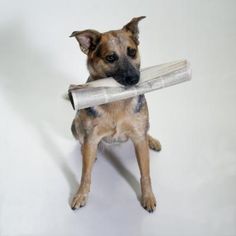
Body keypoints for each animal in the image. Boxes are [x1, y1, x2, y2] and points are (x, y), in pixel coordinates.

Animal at [69, 16, 161, 212]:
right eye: (110, 58)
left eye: (132, 52)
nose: (135, 79)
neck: (117, 100)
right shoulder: (91, 137)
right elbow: (85, 174)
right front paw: (81, 194)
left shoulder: (139, 139)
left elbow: (145, 173)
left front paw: (148, 196)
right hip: (75, 125)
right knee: (81, 140)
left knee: (146, 132)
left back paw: (152, 140)